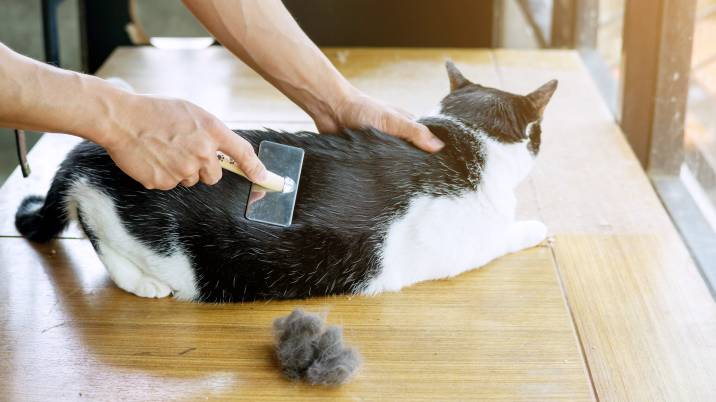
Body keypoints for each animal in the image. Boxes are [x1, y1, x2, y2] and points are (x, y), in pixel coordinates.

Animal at [14, 62, 556, 302]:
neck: (466, 137)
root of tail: (84, 151)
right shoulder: (470, 244)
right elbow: (508, 234)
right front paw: (539, 227)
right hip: (142, 234)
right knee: (102, 244)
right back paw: (144, 283)